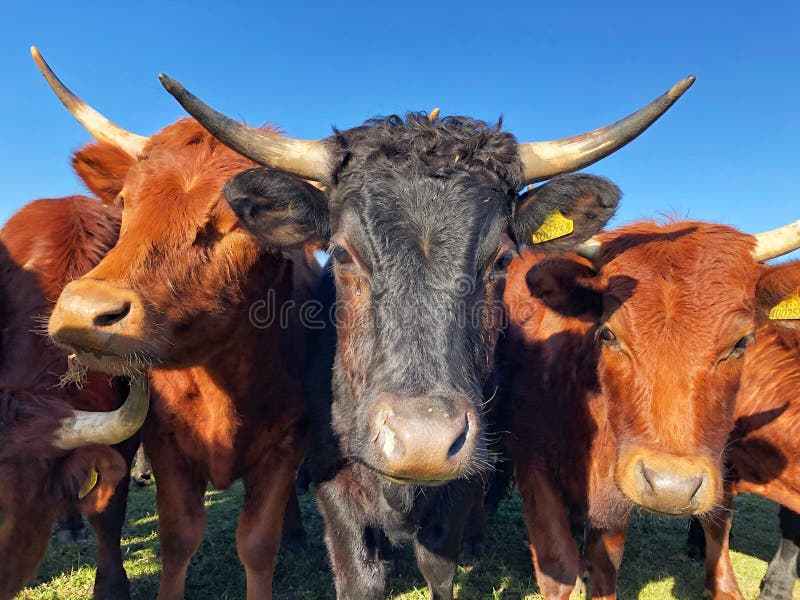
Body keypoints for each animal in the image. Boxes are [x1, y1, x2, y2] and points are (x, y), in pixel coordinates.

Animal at [34, 49, 318, 596]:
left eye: (243, 221)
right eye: (125, 202)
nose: (83, 311)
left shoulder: (288, 441)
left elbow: (258, 542)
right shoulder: (163, 444)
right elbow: (178, 538)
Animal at [161, 72, 692, 596]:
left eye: (502, 259)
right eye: (343, 253)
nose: (424, 441)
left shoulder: (457, 488)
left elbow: (440, 564)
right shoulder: (336, 481)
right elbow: (359, 575)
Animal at [500, 221, 800, 600]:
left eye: (741, 343)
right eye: (608, 334)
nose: (671, 487)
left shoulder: (619, 492)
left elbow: (606, 562)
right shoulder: (533, 464)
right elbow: (558, 565)